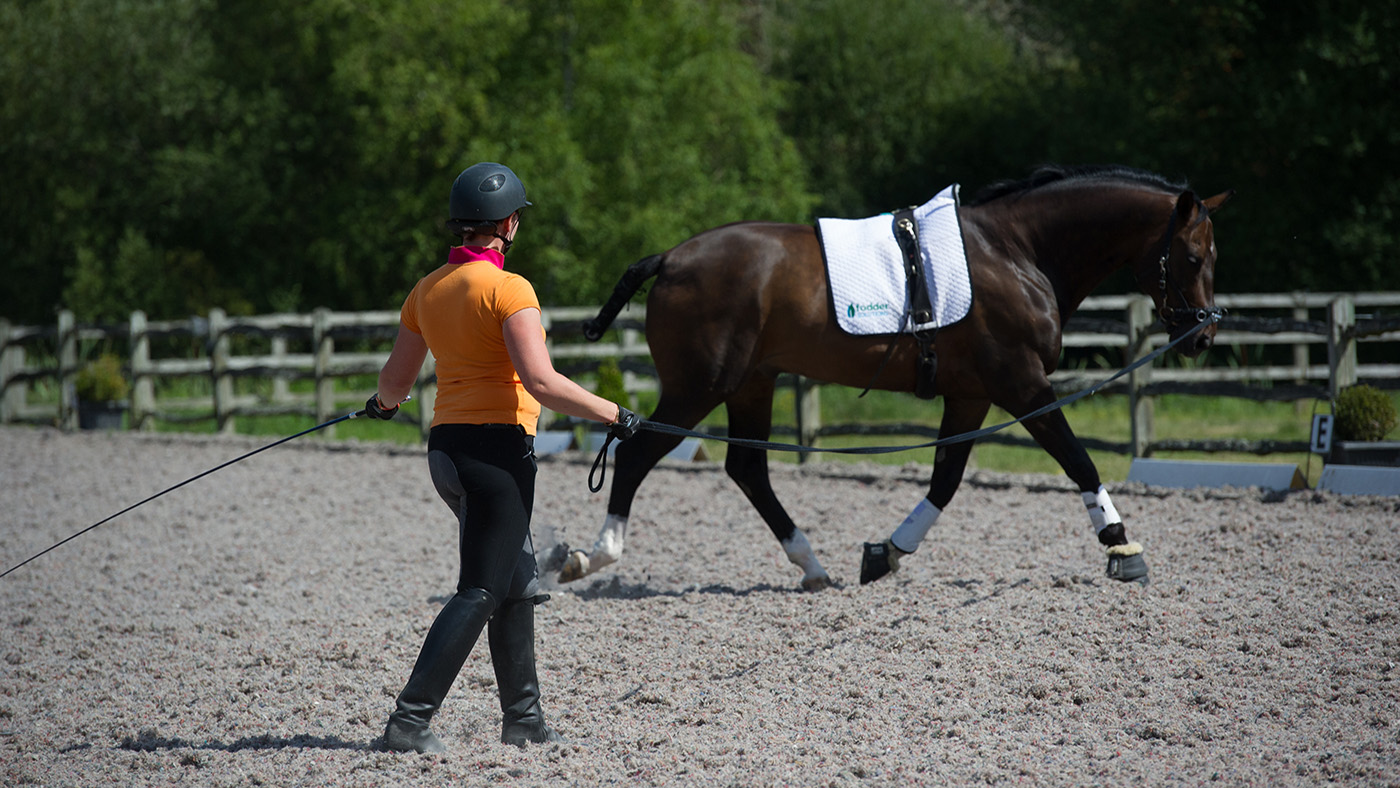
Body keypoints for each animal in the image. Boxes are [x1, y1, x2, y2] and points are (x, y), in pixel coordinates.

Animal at [557, 165, 1233, 590]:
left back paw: (812, 566)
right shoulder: (1021, 385)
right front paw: (1122, 547)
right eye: (1193, 256)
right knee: (638, 453)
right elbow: (1078, 460)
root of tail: (670, 258)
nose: (1201, 336)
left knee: (747, 468)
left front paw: (886, 553)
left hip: (751, 383)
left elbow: (945, 480)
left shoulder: (971, 394)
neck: (1017, 253)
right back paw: (595, 556)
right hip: (700, 387)